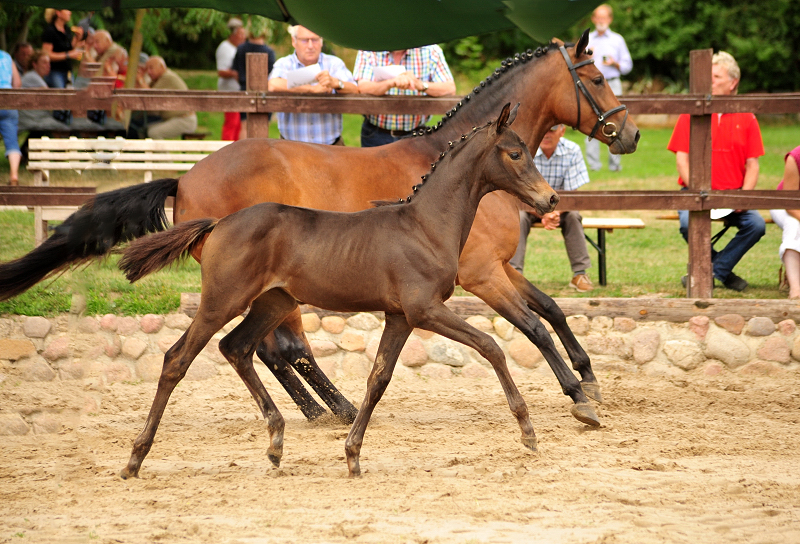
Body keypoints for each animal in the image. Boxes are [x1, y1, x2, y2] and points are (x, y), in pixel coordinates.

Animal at [117, 104, 568, 478]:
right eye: (515, 154)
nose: (551, 199)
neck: (425, 226)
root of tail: (218, 224)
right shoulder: (424, 309)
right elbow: (491, 346)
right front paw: (528, 430)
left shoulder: (400, 317)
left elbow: (378, 379)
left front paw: (352, 454)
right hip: (221, 301)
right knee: (177, 359)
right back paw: (135, 458)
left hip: (272, 302)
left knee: (237, 348)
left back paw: (276, 442)